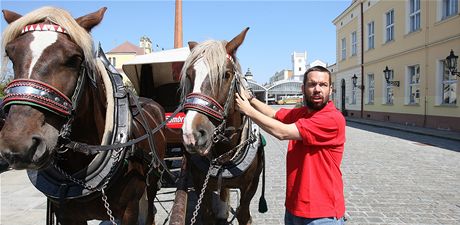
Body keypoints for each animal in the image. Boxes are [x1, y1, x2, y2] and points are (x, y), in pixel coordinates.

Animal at [0, 6, 168, 224]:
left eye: (73, 59)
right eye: (11, 54)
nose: (18, 145)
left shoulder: (129, 210)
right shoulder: (67, 214)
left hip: (152, 182)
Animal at [181, 28, 266, 225]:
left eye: (226, 74)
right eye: (189, 75)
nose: (191, 134)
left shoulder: (251, 186)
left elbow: (244, 215)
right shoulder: (201, 184)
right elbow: (207, 215)